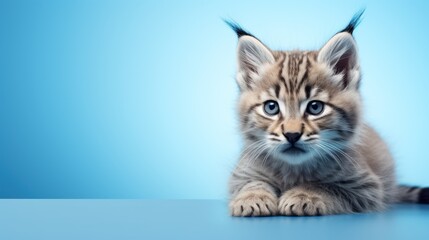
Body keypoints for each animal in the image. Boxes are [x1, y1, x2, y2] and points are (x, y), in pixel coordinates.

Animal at [226, 11, 426, 217]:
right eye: (271, 107)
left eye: (315, 107)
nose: (292, 135)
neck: (294, 168)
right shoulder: (240, 174)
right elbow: (251, 183)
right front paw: (252, 197)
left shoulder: (368, 188)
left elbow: (327, 186)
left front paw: (305, 194)